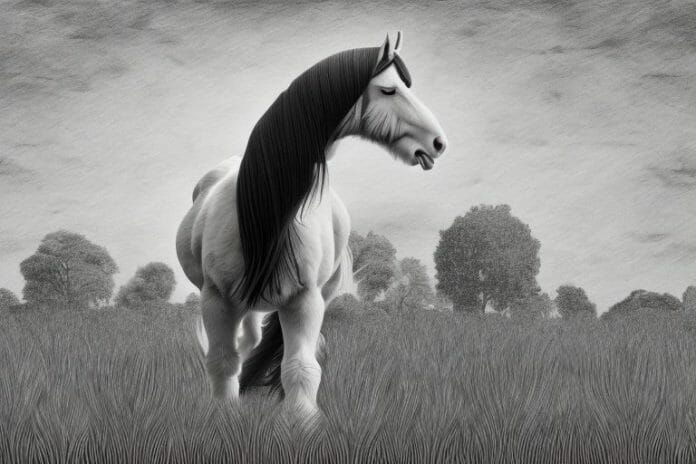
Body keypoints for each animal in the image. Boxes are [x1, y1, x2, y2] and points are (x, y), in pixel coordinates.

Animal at [176, 31, 447, 416]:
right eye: (389, 90)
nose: (438, 143)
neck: (267, 214)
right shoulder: (217, 299)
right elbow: (223, 361)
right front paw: (224, 415)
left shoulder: (304, 301)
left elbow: (300, 369)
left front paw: (302, 422)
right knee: (246, 343)